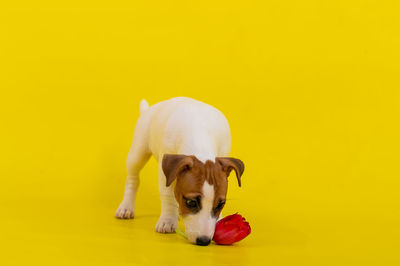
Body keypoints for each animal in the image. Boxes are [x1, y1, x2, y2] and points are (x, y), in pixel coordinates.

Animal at [115, 96, 244, 246]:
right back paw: (126, 207)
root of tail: (148, 110)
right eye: (191, 202)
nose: (204, 241)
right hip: (138, 152)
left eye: (221, 204)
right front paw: (167, 220)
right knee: (133, 179)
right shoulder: (164, 172)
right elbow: (168, 196)